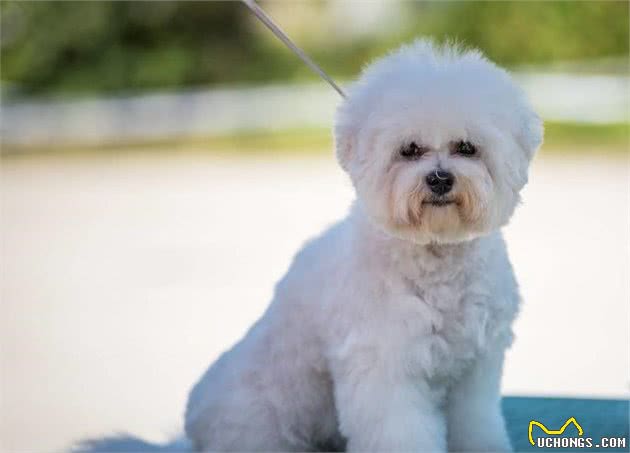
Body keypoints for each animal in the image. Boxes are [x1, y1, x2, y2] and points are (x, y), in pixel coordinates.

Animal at [183, 39, 543, 452]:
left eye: (466, 147)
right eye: (409, 149)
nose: (439, 179)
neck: (434, 254)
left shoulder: (474, 372)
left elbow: (475, 423)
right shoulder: (386, 367)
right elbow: (399, 432)